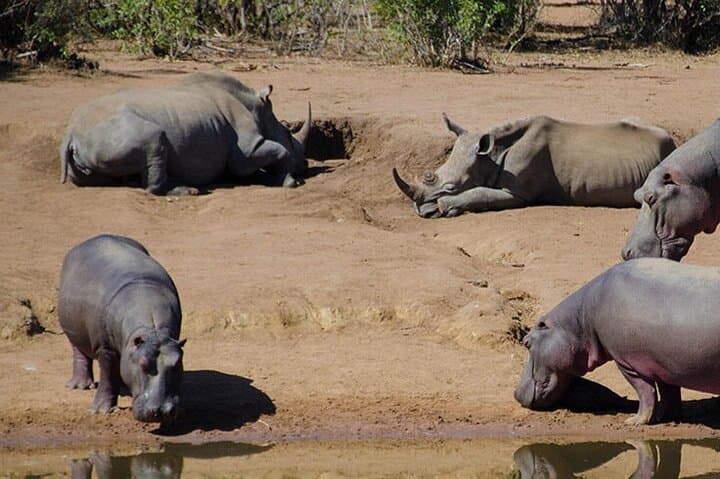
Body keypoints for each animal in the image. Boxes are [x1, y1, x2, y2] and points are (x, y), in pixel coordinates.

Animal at [60, 72, 312, 195]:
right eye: (289, 133)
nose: (305, 165)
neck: (257, 108)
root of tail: (71, 135)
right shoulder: (249, 150)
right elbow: (277, 151)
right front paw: (291, 181)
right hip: (115, 131)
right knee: (155, 139)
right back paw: (189, 191)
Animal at [393, 115, 676, 218]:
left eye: (450, 187)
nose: (421, 211)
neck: (491, 156)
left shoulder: (517, 193)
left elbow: (478, 192)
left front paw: (447, 208)